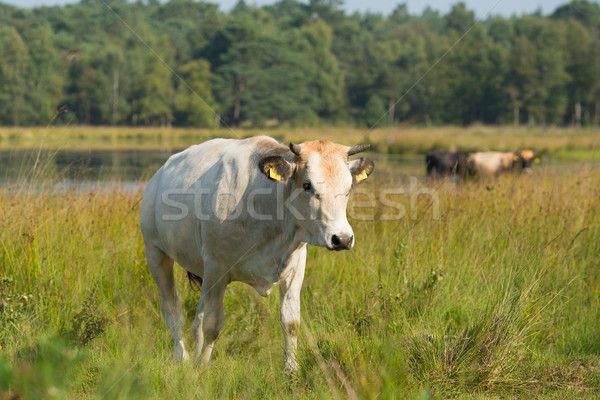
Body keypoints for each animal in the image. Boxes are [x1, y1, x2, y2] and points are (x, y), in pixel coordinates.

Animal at [141, 136, 376, 370]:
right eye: (307, 185)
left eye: (348, 187)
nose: (342, 238)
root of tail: (160, 173)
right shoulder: (216, 267)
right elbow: (212, 325)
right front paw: (205, 368)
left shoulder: (295, 269)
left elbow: (290, 322)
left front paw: (291, 369)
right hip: (156, 253)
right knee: (172, 309)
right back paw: (182, 356)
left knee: (198, 315)